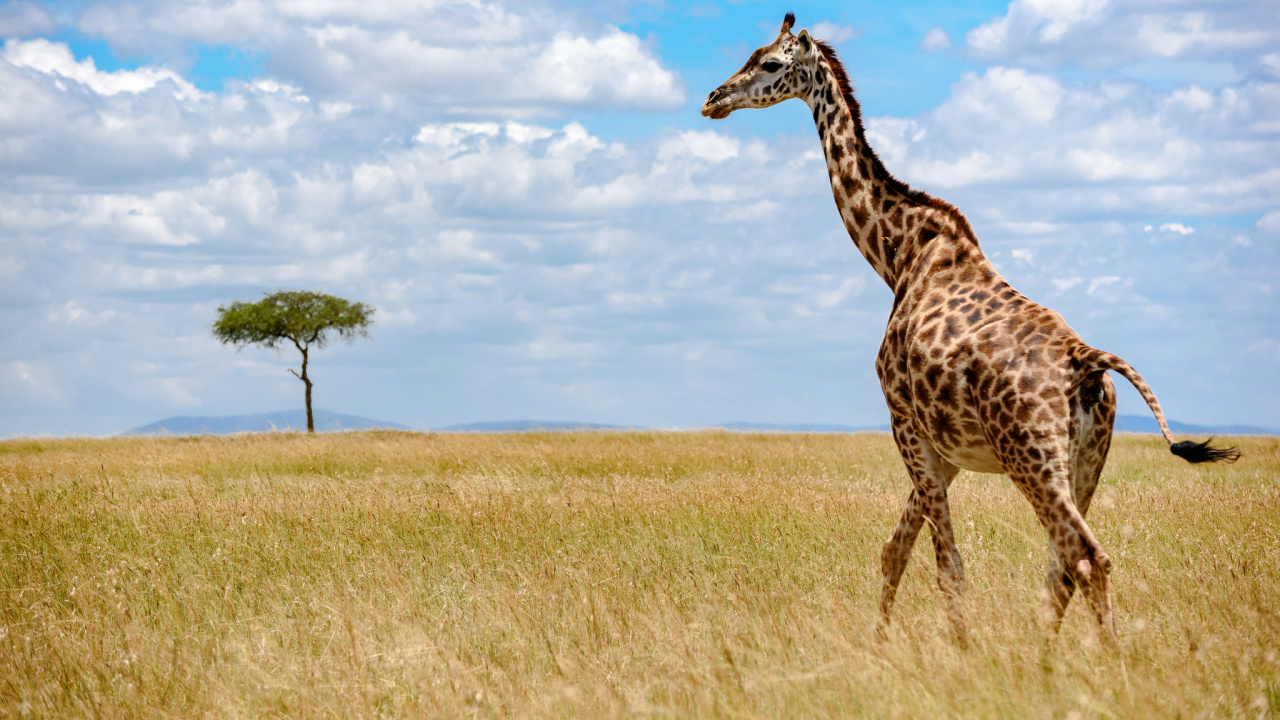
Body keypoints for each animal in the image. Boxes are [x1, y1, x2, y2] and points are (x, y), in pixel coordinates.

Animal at [702, 13, 1240, 638]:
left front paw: (952, 650)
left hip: (1032, 457)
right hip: (1087, 459)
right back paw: (1048, 657)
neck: (899, 254)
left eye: (769, 63)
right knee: (1063, 565)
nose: (714, 99)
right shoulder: (948, 449)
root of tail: (1086, 361)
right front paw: (881, 644)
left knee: (1085, 557)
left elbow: (947, 570)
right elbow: (895, 550)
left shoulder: (904, 420)